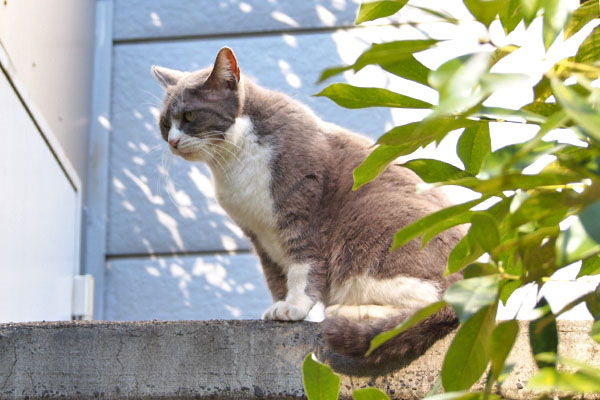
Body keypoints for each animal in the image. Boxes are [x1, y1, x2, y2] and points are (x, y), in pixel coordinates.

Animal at [154, 47, 464, 366]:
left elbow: (303, 266)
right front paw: (279, 306)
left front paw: (294, 307)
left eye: (189, 116)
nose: (173, 142)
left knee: (430, 302)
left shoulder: (301, 212)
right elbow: (275, 277)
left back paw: (347, 311)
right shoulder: (258, 235)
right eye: (164, 124)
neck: (232, 162)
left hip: (375, 226)